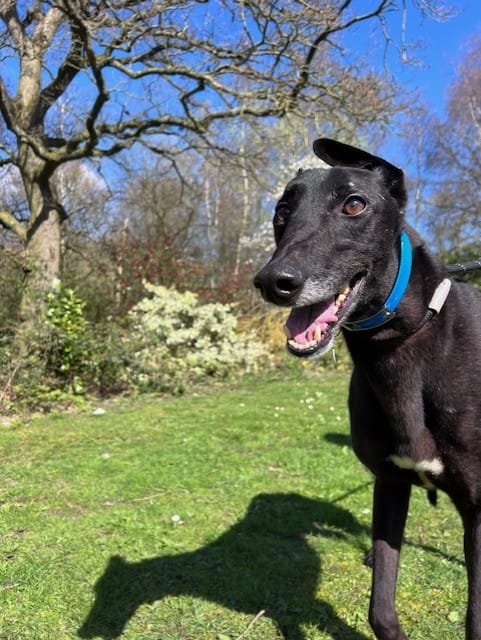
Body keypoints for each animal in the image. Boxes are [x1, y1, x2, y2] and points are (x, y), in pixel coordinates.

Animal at [254, 139, 481, 640]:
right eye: (282, 212)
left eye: (354, 204)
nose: (273, 282)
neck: (402, 342)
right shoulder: (391, 482)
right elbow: (380, 608)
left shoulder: (479, 507)